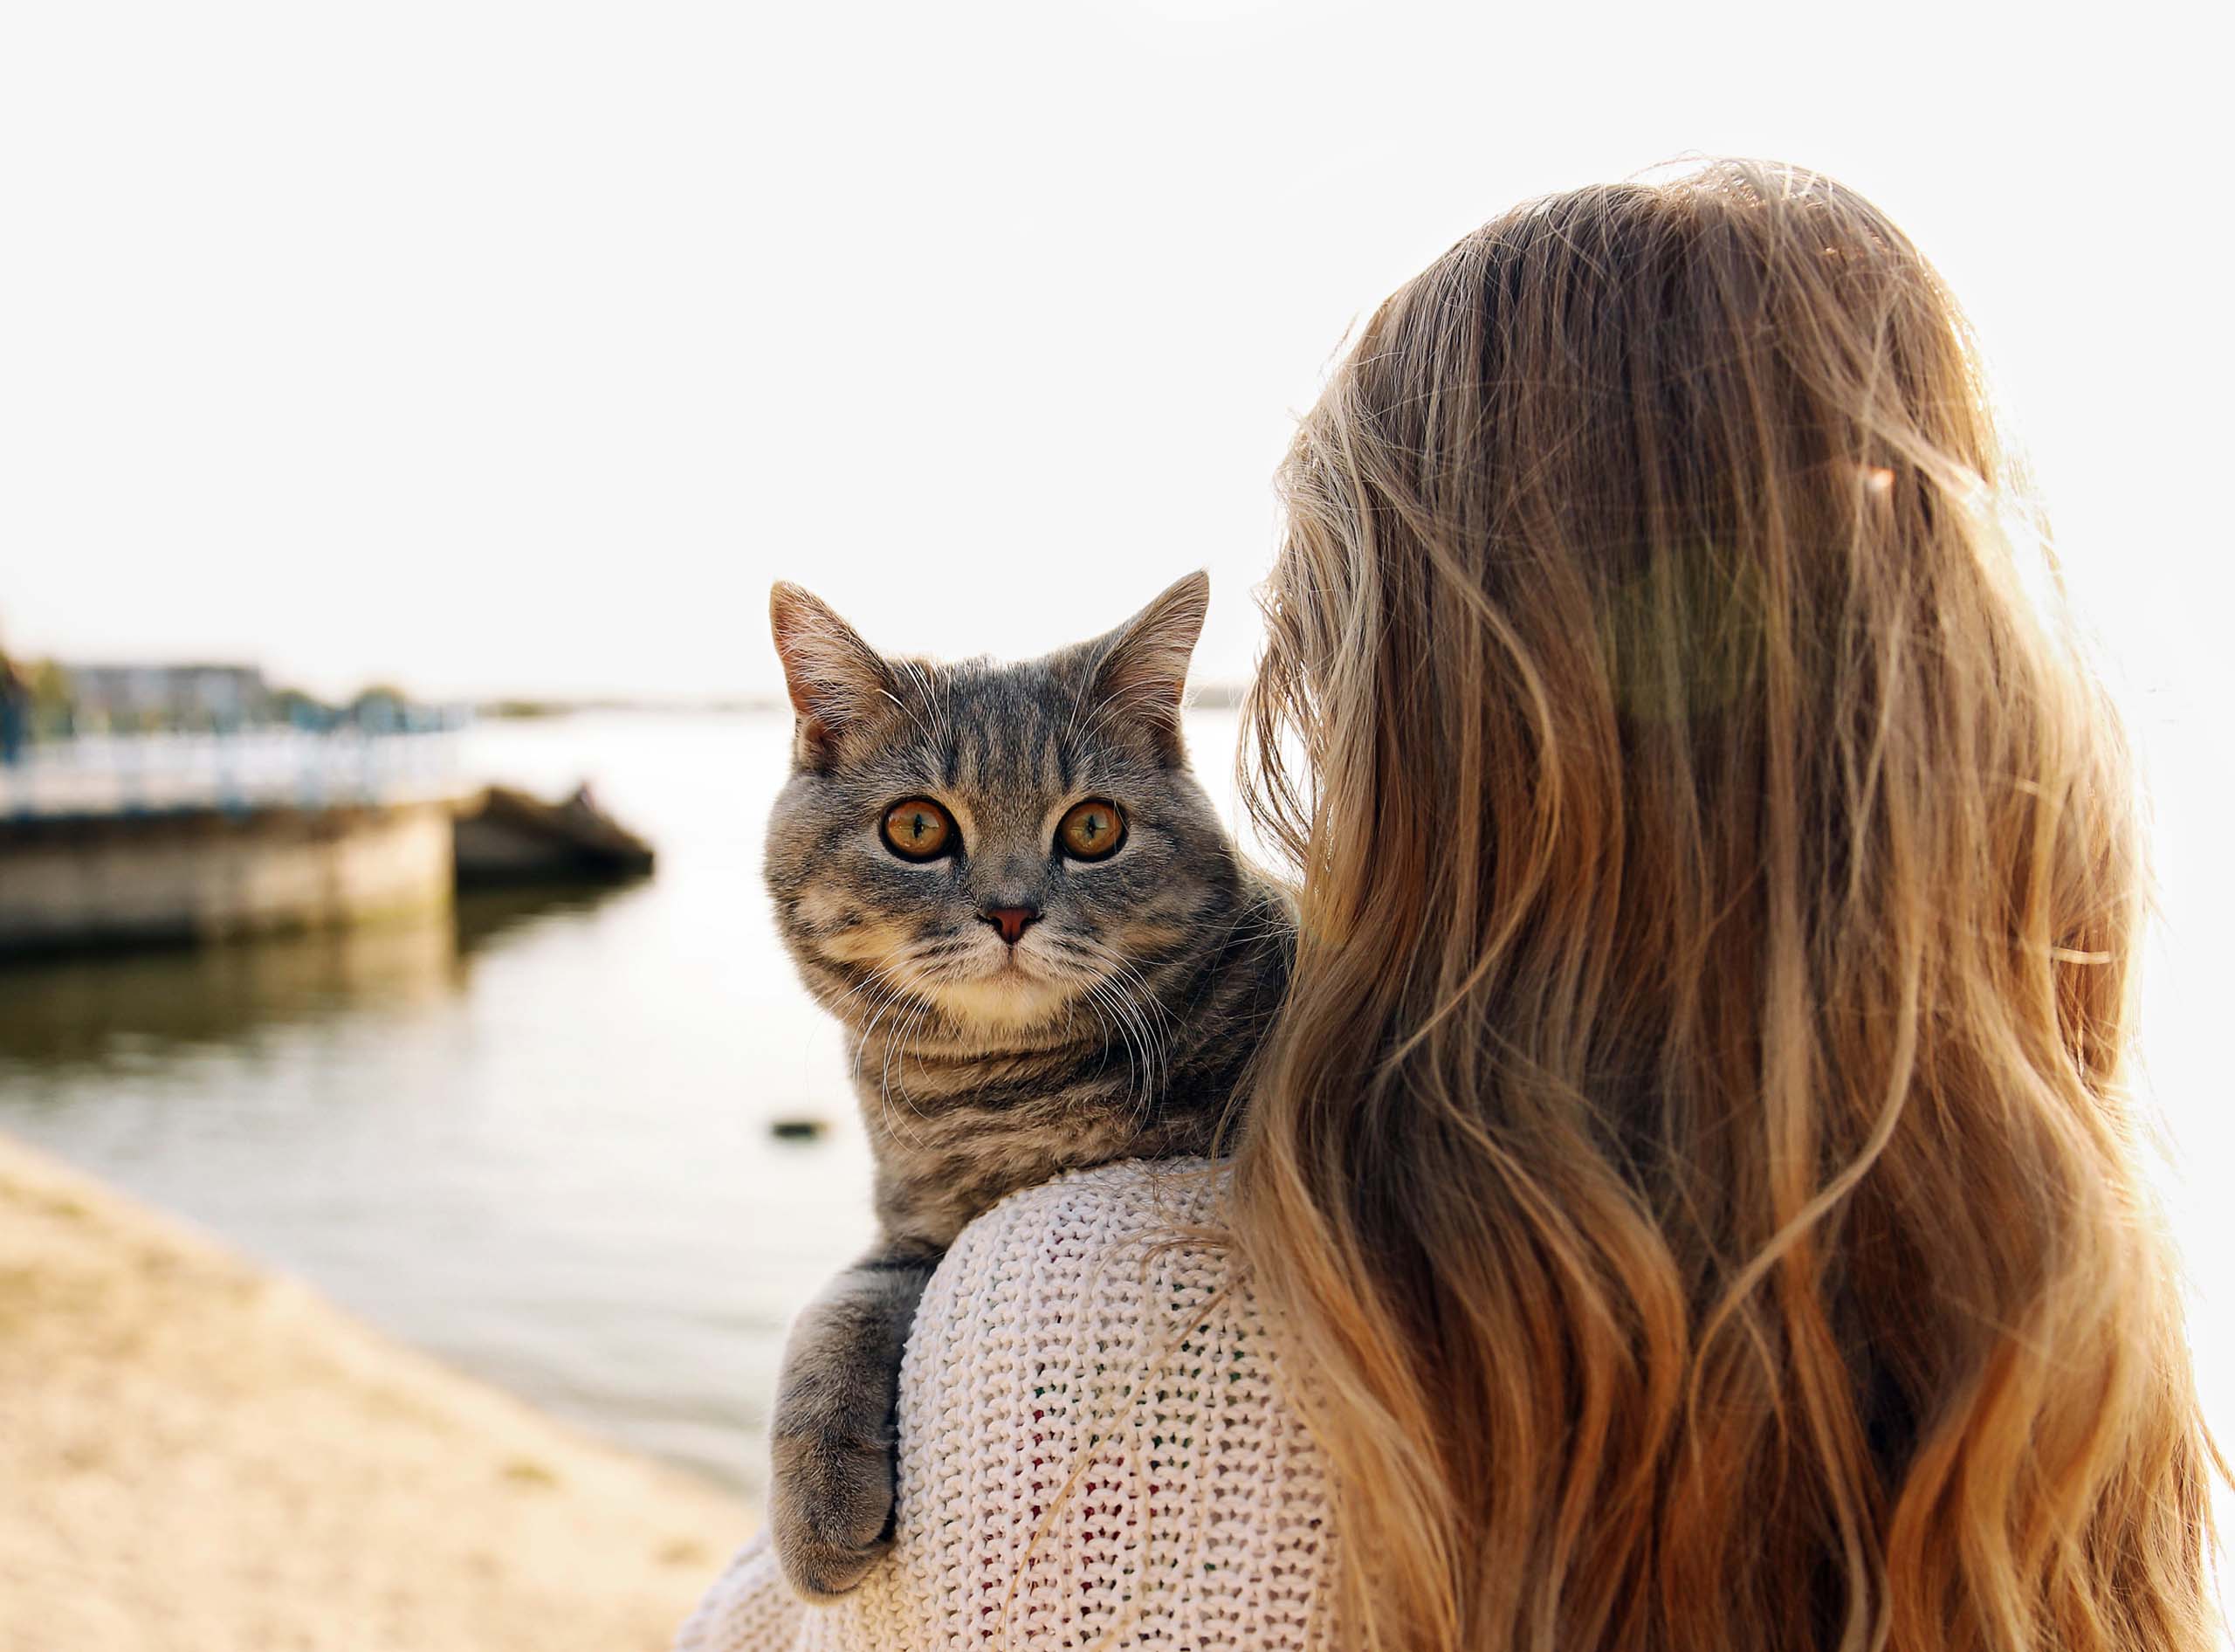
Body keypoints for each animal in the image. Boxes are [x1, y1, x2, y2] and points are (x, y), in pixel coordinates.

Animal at [764, 576, 1296, 1609]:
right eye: (916, 828)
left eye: (1093, 828)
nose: (1010, 912)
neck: (1007, 1094)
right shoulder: (913, 1231)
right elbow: (835, 1307)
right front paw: (815, 1502)